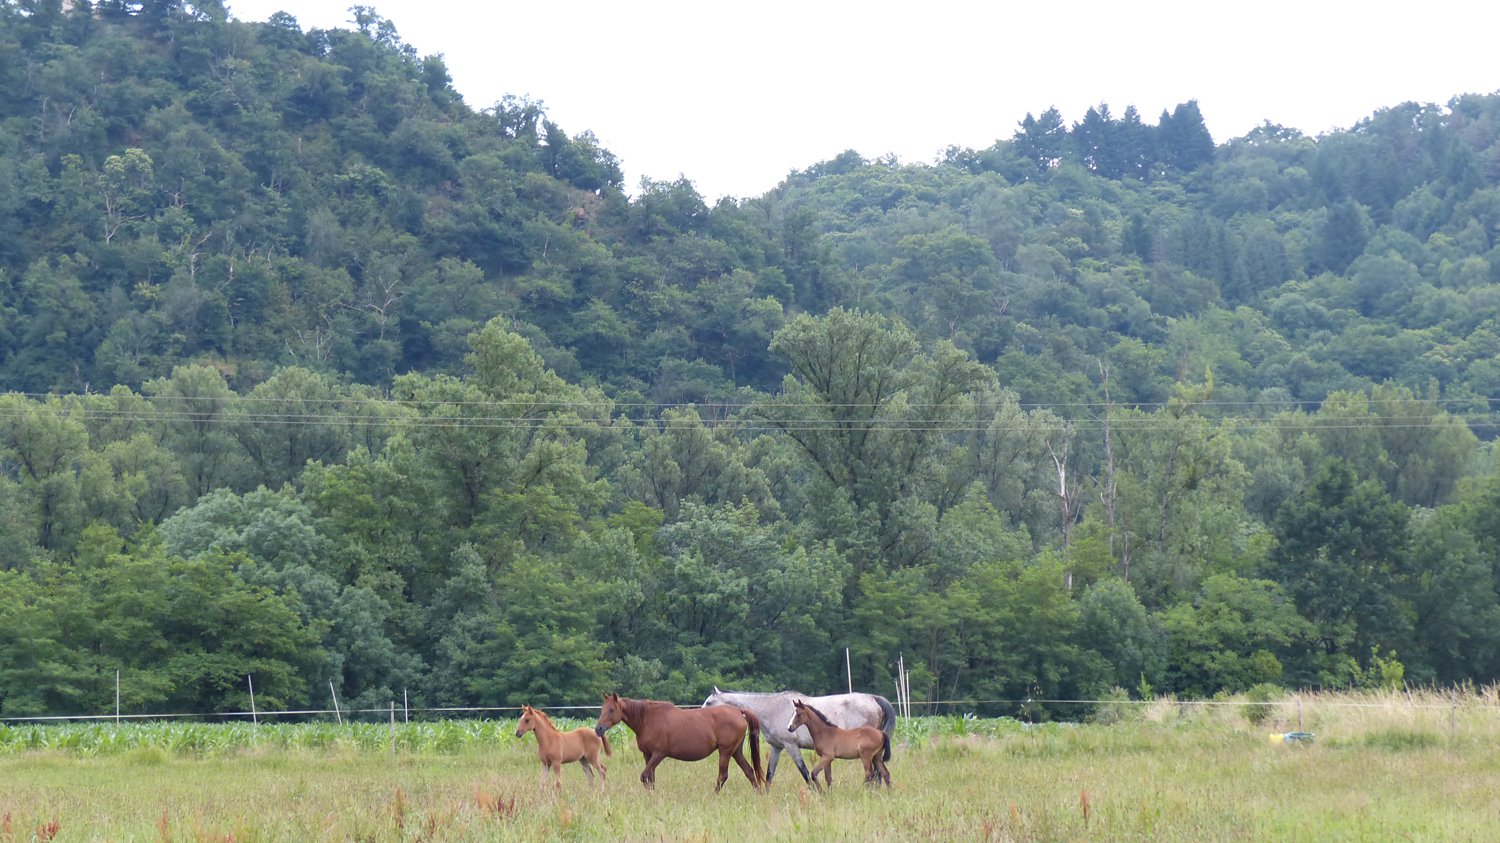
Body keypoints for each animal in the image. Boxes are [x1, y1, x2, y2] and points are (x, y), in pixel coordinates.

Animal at [594, 692, 765, 792]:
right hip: (736, 752)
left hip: (725, 752)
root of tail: (739, 711)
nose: (598, 729)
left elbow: (644, 776)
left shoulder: (659, 754)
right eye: (602, 709)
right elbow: (650, 778)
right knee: (749, 771)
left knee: (723, 776)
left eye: (611, 710)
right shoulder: (648, 755)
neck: (647, 719)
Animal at [701, 688, 895, 785]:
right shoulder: (777, 747)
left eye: (709, 702)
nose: (701, 716)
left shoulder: (791, 746)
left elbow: (805, 773)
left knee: (876, 774)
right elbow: (770, 775)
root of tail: (873, 698)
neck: (771, 708)